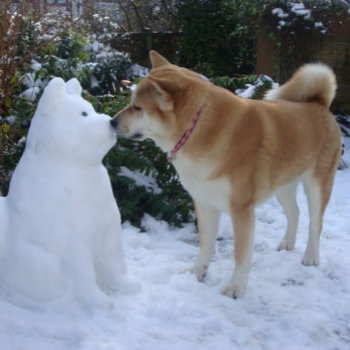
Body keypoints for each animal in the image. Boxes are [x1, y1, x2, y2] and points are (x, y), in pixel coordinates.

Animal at [110, 51, 340, 298]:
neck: (196, 126)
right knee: (294, 212)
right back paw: (287, 243)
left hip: (317, 185)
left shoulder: (241, 209)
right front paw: (198, 273)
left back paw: (311, 256)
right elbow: (205, 245)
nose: (111, 121)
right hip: (282, 184)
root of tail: (319, 104)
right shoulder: (204, 203)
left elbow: (241, 254)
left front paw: (236, 288)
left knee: (315, 223)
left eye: (137, 107)